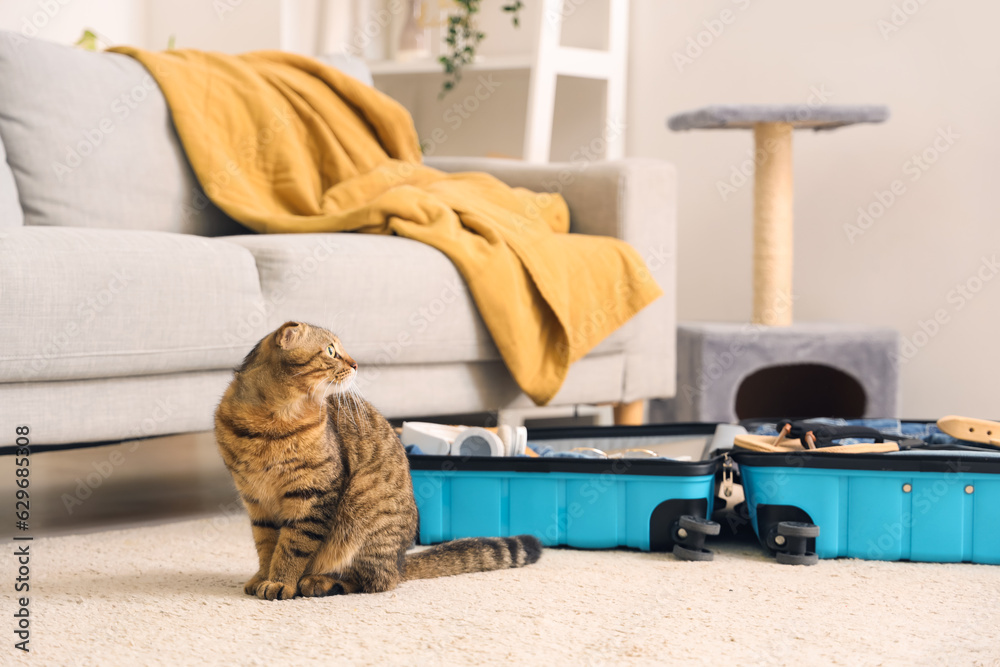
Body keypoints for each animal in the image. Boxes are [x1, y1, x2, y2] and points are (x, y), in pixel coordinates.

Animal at [215, 320, 544, 604]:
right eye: (331, 351)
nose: (356, 364)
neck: (272, 421)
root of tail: (400, 561)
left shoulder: (313, 495)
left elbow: (292, 546)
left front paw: (281, 581)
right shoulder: (256, 501)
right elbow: (267, 545)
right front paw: (262, 576)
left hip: (362, 513)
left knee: (376, 580)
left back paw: (320, 581)